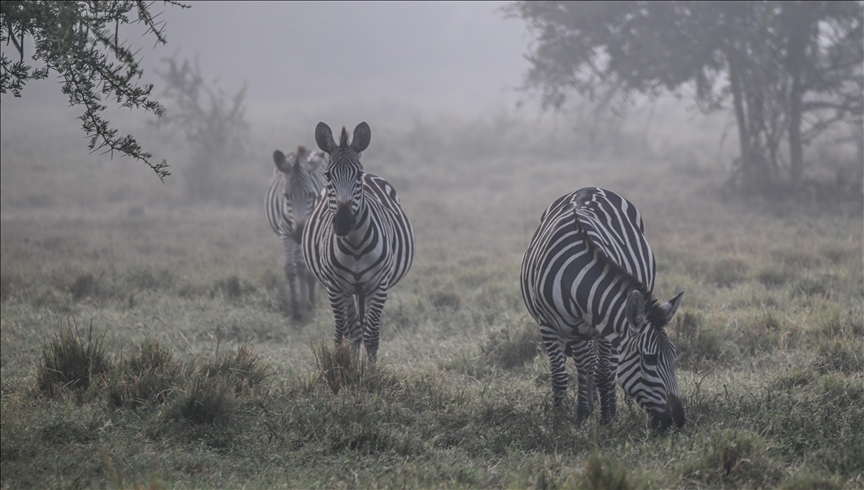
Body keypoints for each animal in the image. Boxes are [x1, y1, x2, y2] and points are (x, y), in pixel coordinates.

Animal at [264, 145, 328, 322]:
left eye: (311, 195)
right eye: (286, 196)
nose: (299, 234)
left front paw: (311, 303)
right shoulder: (286, 233)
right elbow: (291, 269)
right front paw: (296, 308)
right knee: (300, 266)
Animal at [300, 121, 416, 362]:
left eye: (358, 175)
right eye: (327, 175)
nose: (343, 222)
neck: (355, 245)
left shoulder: (379, 286)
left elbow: (372, 339)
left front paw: (370, 372)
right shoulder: (334, 287)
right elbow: (340, 336)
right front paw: (344, 369)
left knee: (361, 331)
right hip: (347, 290)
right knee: (353, 332)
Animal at [520, 186, 688, 430]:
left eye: (674, 355)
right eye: (650, 359)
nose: (678, 421)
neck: (577, 278)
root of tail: (589, 187)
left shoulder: (605, 328)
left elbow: (604, 373)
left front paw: (606, 419)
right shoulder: (549, 326)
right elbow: (561, 376)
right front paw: (562, 421)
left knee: (603, 367)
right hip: (578, 331)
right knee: (586, 364)